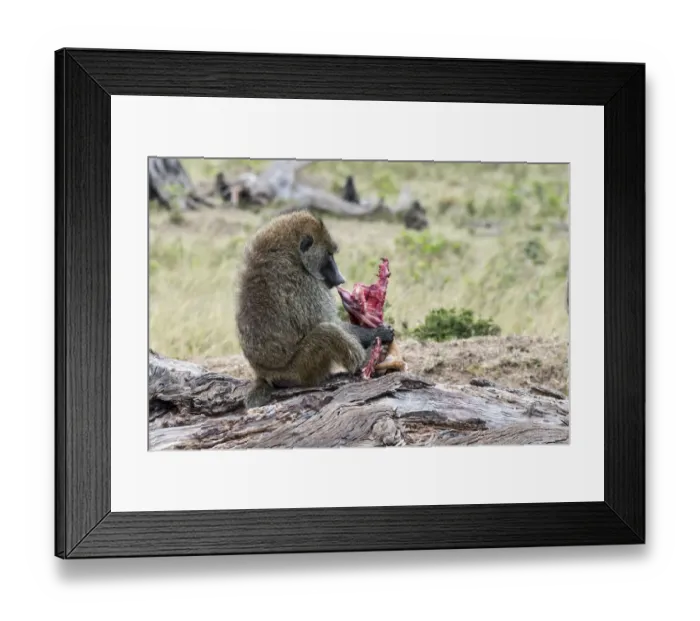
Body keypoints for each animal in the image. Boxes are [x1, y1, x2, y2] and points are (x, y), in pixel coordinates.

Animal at [235, 211, 394, 409]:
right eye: (329, 255)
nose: (341, 279)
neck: (288, 254)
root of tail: (263, 374)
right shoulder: (307, 284)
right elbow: (330, 322)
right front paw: (379, 333)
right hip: (298, 371)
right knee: (327, 332)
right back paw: (365, 359)